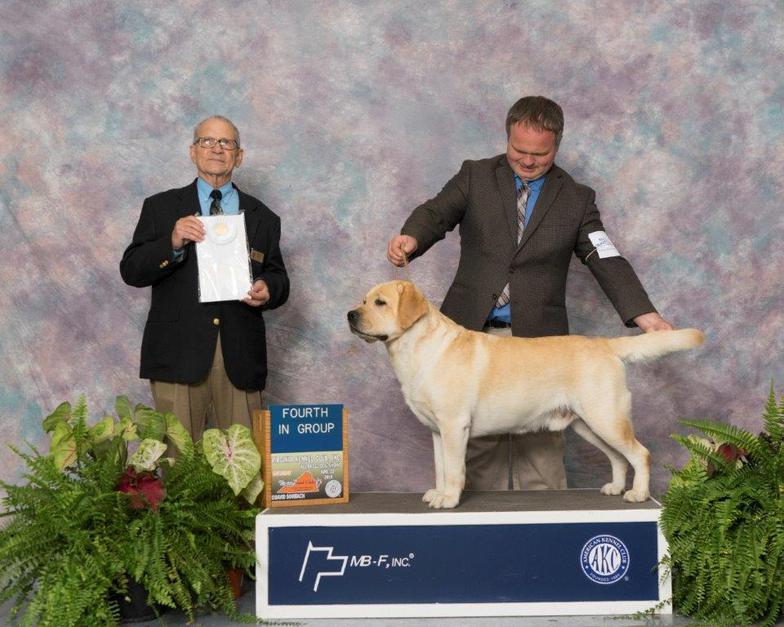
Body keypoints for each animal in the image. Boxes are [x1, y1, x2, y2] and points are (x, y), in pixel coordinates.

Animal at [350, 282, 704, 508]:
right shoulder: (438, 431)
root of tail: (606, 345)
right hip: (588, 424)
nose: (350, 315)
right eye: (363, 300)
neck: (416, 347)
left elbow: (453, 470)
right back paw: (616, 488)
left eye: (380, 302)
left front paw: (448, 499)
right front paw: (437, 493)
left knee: (640, 454)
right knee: (618, 457)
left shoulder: (453, 426)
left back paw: (638, 494)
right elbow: (440, 467)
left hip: (606, 417)